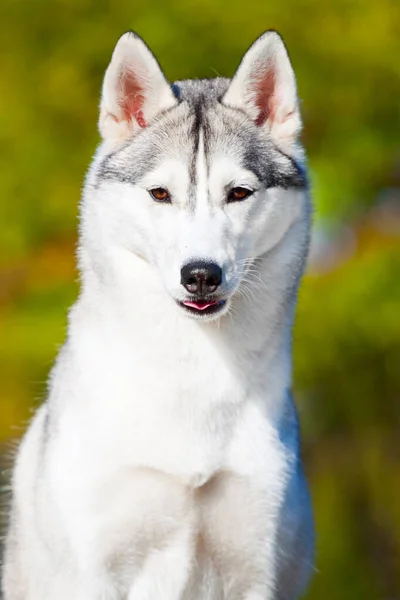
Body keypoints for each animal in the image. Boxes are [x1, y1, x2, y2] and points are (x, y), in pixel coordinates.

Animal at [2, 29, 316, 600]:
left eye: (239, 193)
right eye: (160, 194)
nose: (201, 274)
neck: (193, 374)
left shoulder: (255, 569)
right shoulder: (95, 571)